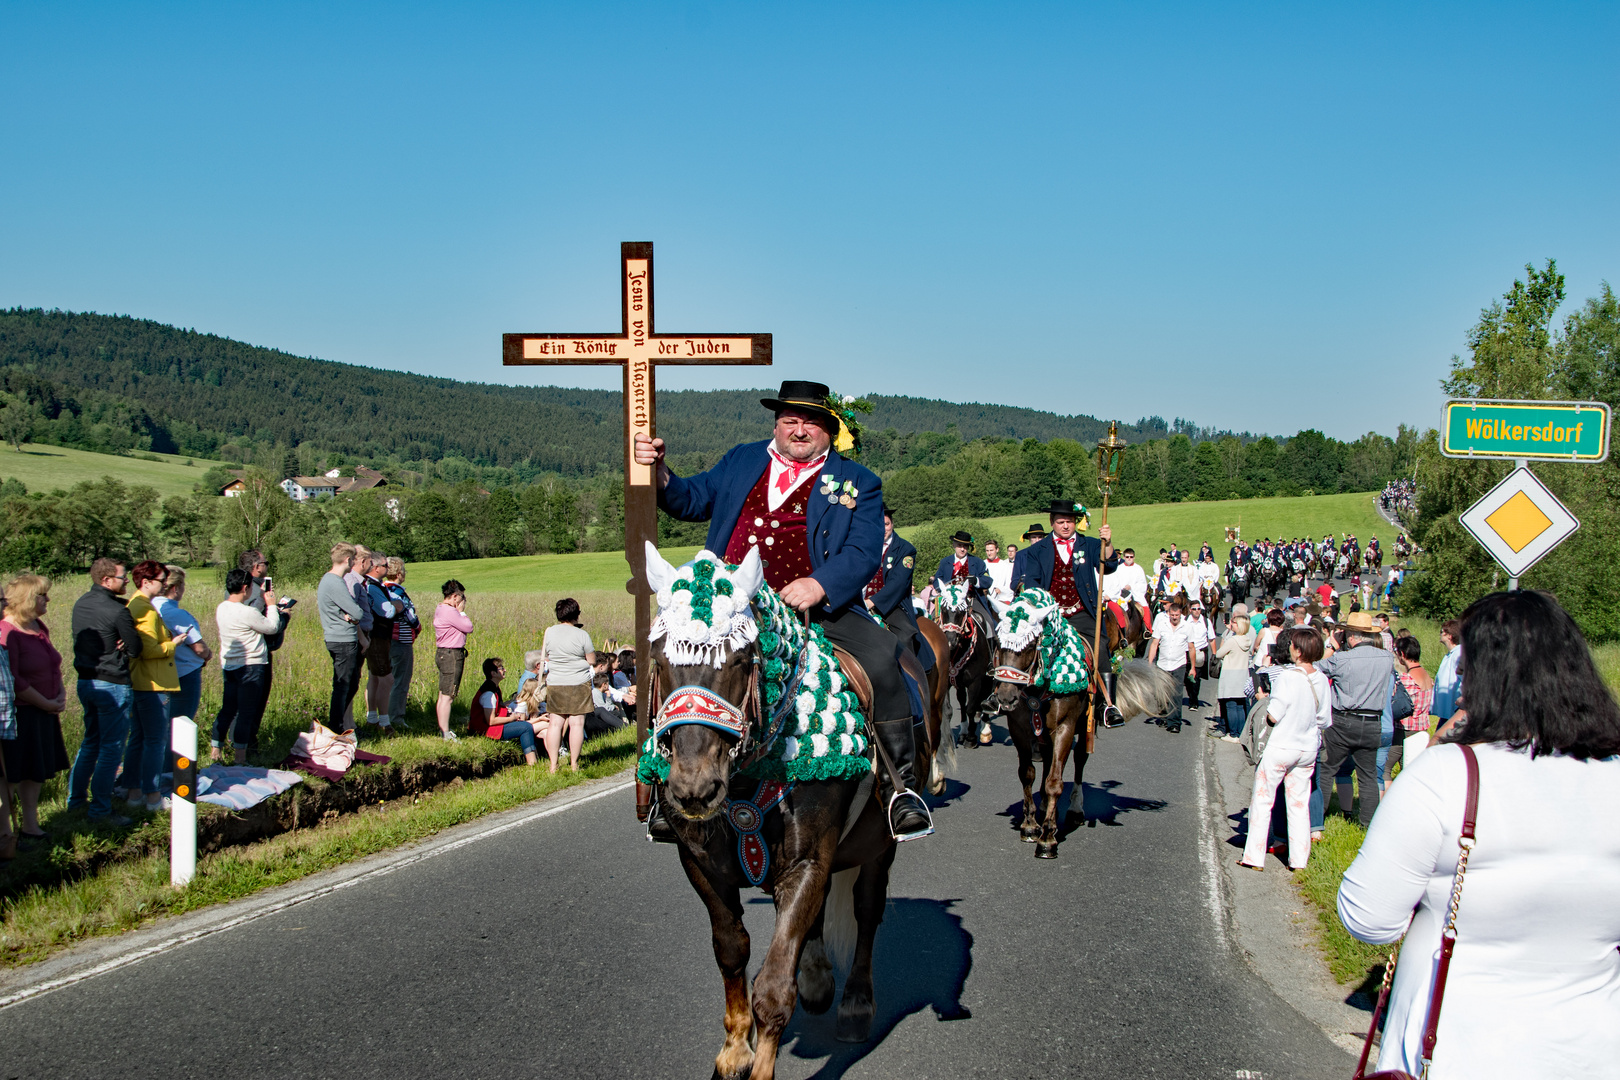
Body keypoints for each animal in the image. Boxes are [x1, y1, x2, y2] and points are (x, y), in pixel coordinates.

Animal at [635, 550, 939, 1080]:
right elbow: (732, 950)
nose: (694, 789)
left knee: (867, 910)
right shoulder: (702, 867)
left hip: (879, 847)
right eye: (659, 659)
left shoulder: (804, 864)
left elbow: (775, 986)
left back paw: (856, 1002)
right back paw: (817, 979)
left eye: (739, 660)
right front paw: (735, 1050)